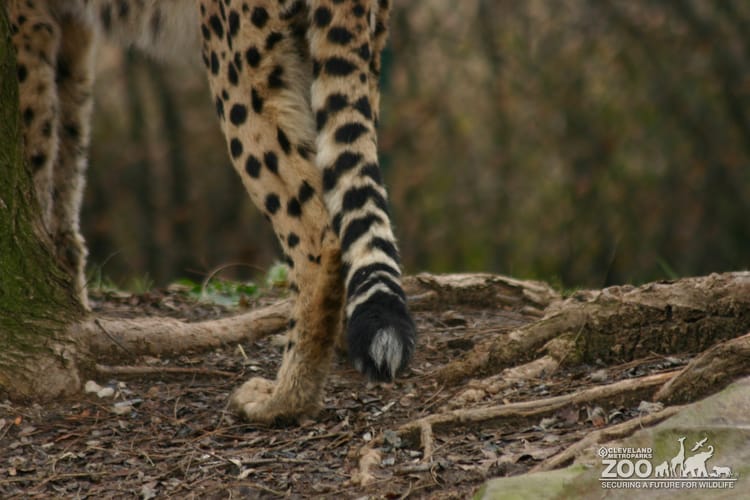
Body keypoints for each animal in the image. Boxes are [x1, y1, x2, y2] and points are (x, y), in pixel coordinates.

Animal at [7, 0, 416, 423]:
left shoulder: (27, 26)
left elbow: (36, 148)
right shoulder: (70, 28)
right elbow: (67, 151)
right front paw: (68, 292)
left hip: (240, 68)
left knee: (317, 235)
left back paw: (283, 400)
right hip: (344, 55)